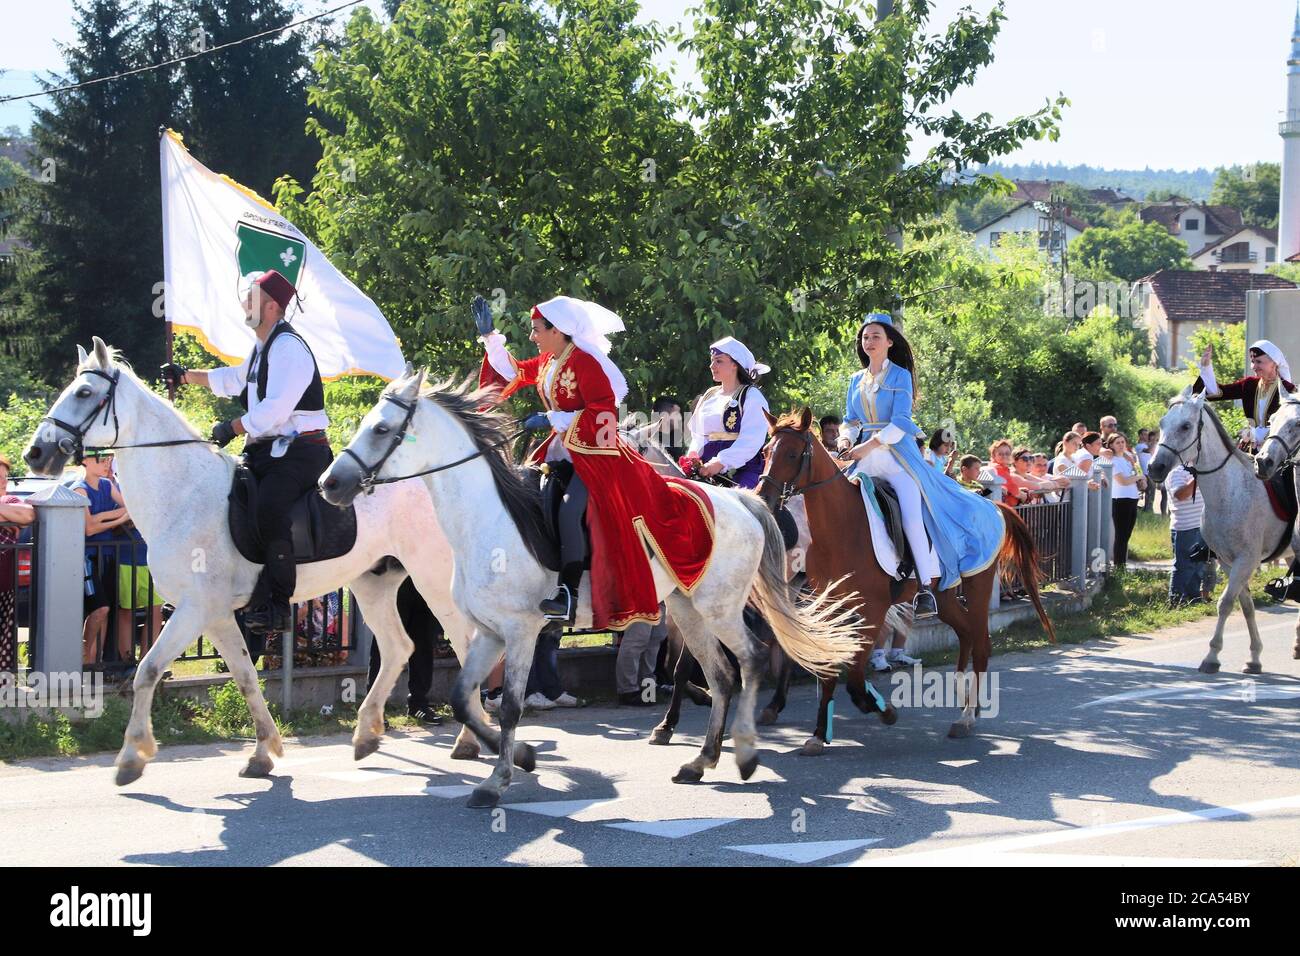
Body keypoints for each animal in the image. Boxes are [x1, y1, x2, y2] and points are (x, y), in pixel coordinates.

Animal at [24, 340, 501, 790]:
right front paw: (263, 752)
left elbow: (149, 670)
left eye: (85, 392)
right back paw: (367, 734)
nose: (35, 454)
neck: (182, 492)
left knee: (463, 644)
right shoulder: (216, 615)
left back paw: (469, 739)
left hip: (433, 581)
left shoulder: (194, 609)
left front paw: (131, 758)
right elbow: (244, 677)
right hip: (373, 583)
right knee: (400, 647)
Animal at [315, 374, 863, 806]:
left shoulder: (519, 630)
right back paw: (699, 762)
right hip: (686, 609)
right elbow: (463, 698)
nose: (330, 484)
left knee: (751, 659)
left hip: (721, 607)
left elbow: (508, 705)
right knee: (723, 675)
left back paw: (745, 752)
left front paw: (497, 781)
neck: (486, 520)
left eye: (381, 428)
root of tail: (745, 501)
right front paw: (519, 756)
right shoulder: (489, 632)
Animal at [759, 408, 1050, 749]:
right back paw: (966, 701)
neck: (841, 526)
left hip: (977, 588)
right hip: (945, 596)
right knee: (966, 635)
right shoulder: (828, 607)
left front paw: (882, 710)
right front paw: (819, 734)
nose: (763, 498)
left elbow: (855, 679)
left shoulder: (871, 610)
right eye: (765, 453)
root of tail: (991, 504)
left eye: (792, 454)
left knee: (981, 644)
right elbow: (830, 667)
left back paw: (966, 717)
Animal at [1149, 385, 1289, 676]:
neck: (1231, 491)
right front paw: (1254, 657)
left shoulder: (1247, 559)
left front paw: (1212, 656)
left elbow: (1224, 603)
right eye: (1162, 423)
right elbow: (1245, 605)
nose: (1154, 468)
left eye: (1186, 426)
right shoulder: (1227, 560)